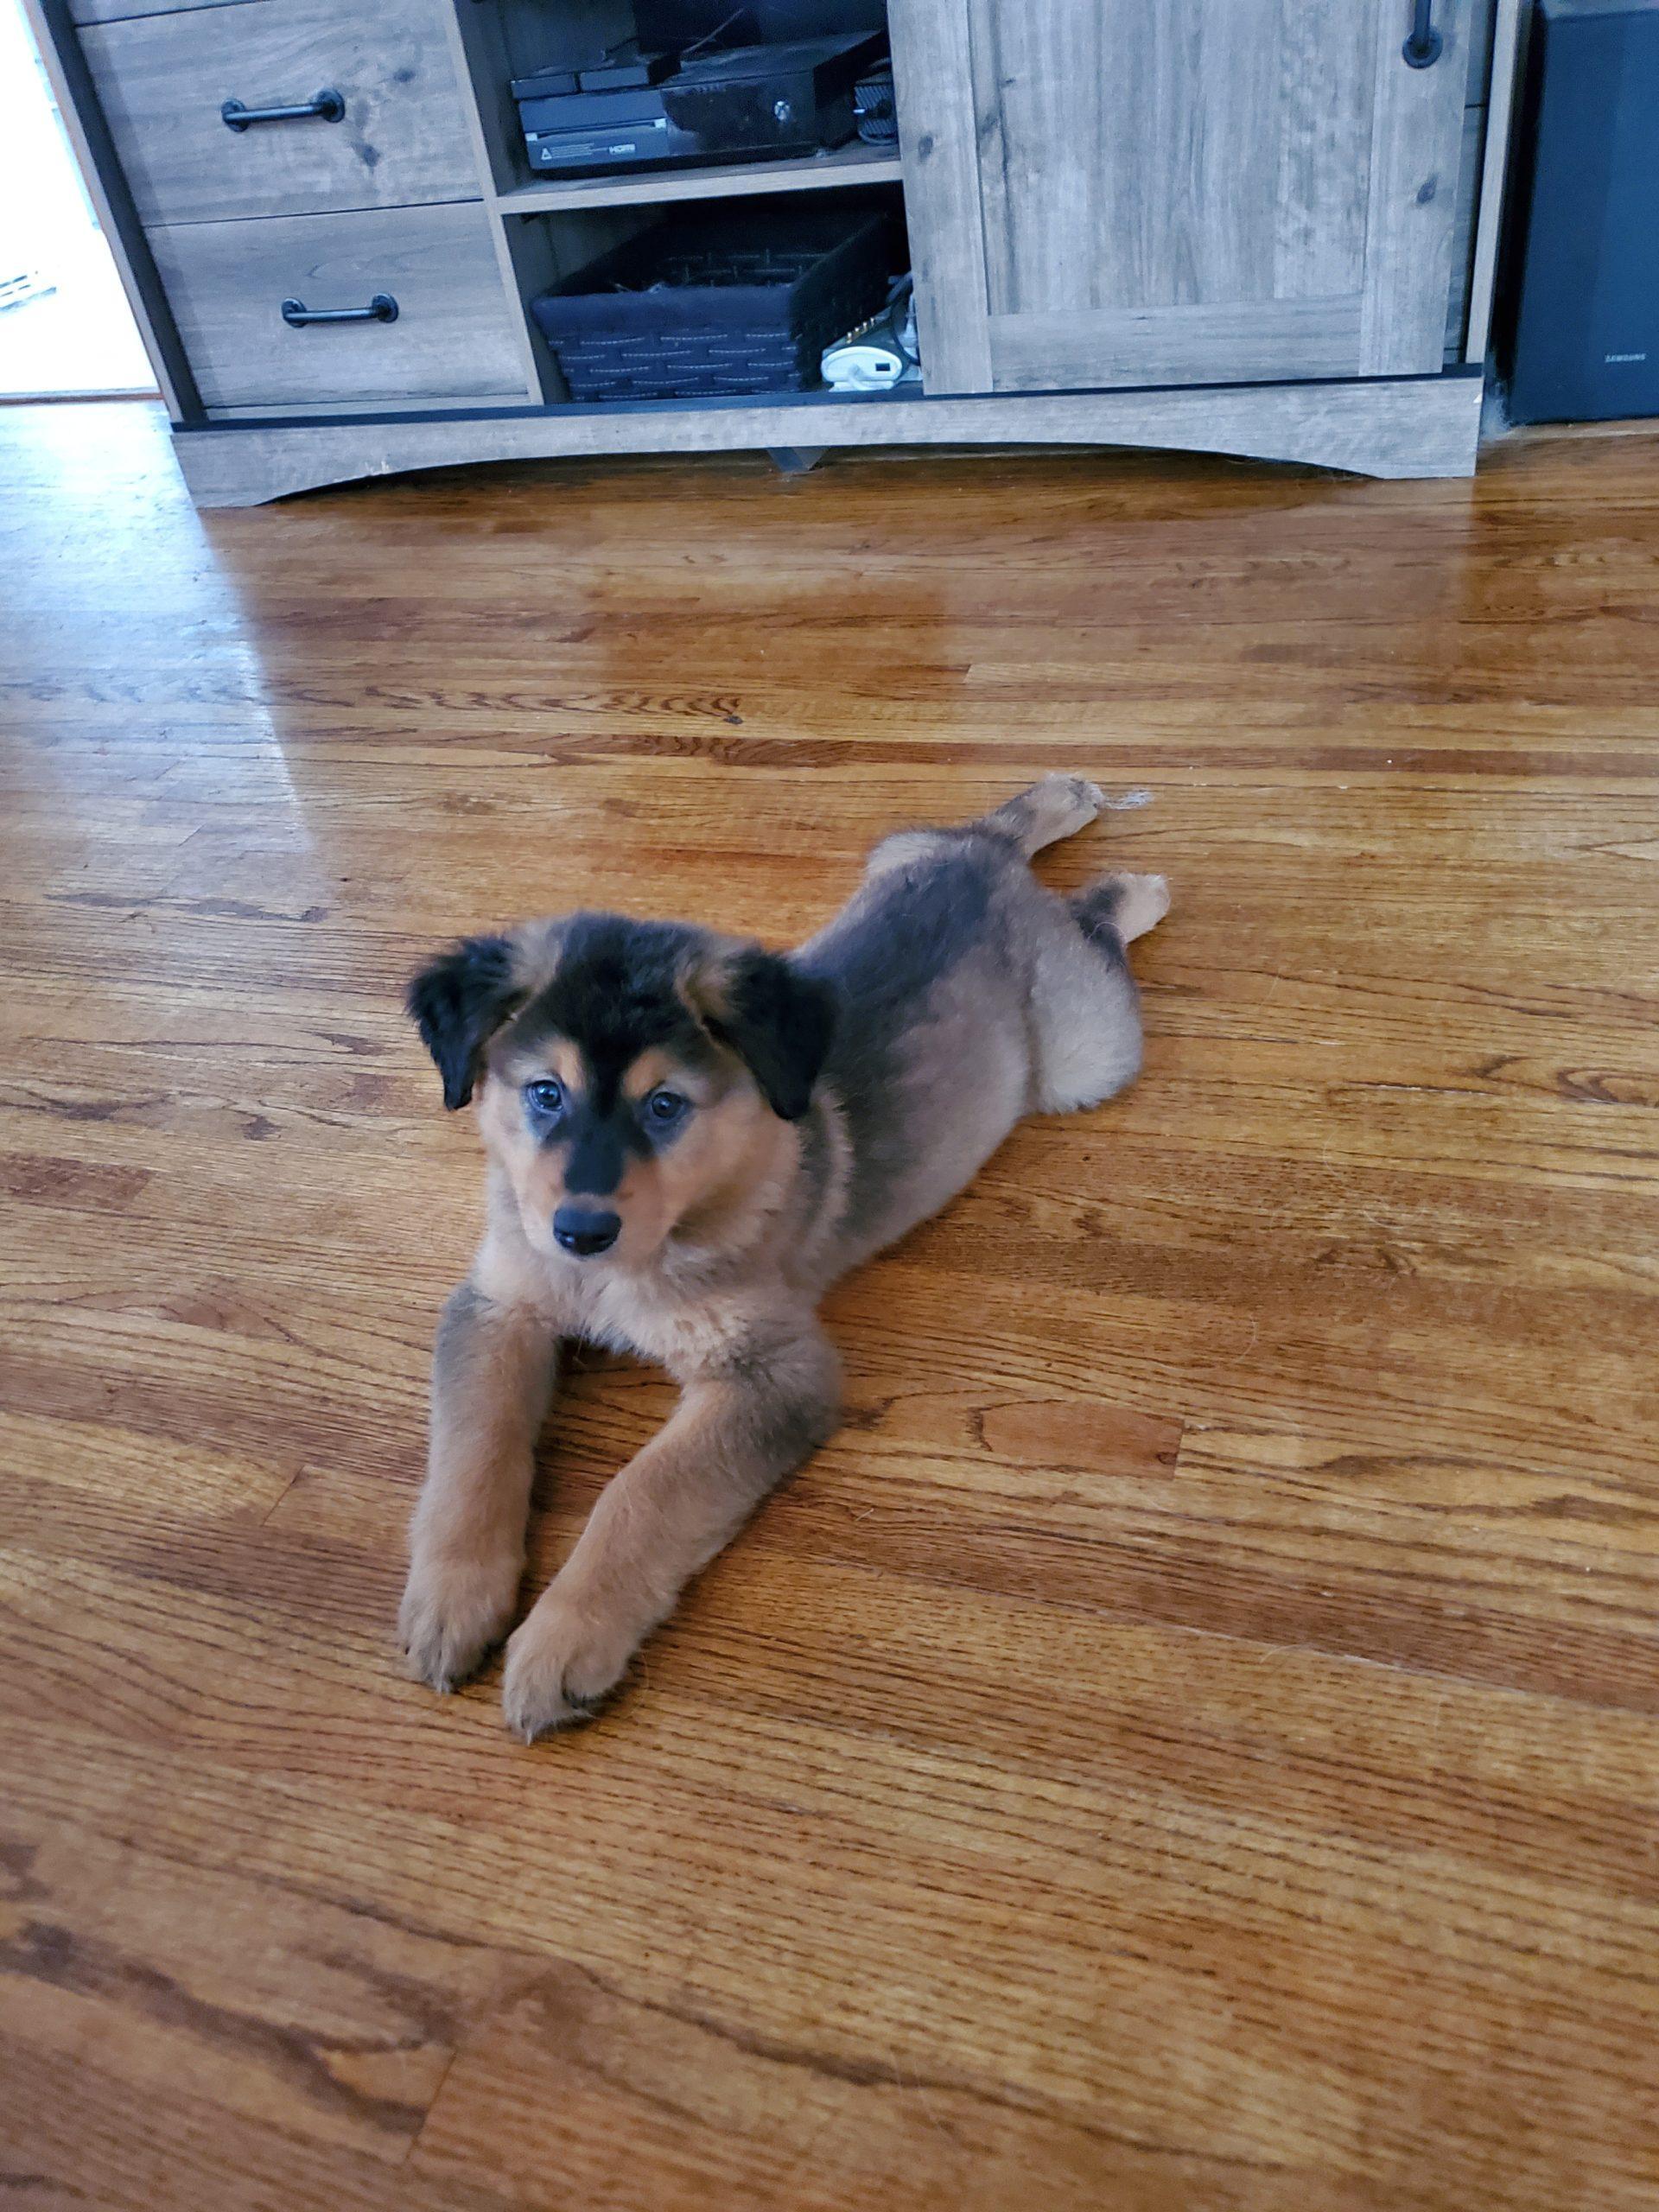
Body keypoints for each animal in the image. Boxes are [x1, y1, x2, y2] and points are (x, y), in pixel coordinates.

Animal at [400, 779, 1167, 1743]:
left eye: (664, 1106)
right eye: (545, 1094)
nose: (579, 1230)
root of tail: (986, 868)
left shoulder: (773, 1373)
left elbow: (642, 1493)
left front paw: (562, 1643)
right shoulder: (499, 1306)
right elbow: (474, 1449)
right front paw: (452, 1599)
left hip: (1083, 1057)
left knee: (1093, 931)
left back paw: (1129, 887)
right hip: (903, 856)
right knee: (988, 827)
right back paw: (1053, 806)